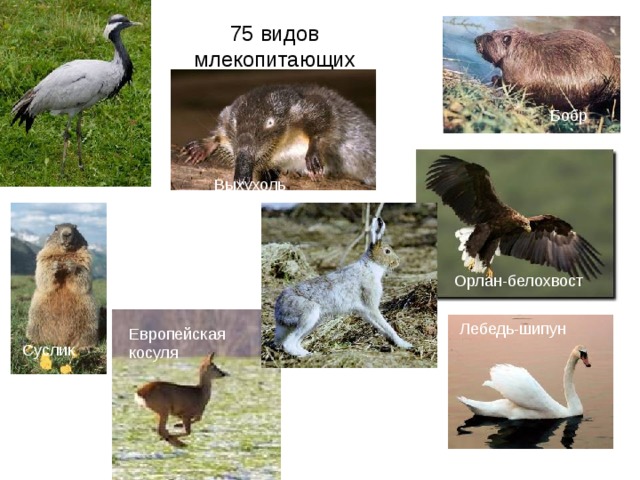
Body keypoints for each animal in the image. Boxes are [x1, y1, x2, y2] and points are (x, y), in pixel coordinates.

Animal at [274, 217, 413, 357]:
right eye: (387, 251)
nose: (398, 261)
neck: (372, 266)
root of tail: (278, 313)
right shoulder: (371, 306)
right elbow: (387, 326)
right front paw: (405, 344)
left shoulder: (365, 311)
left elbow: (379, 326)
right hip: (308, 314)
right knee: (289, 343)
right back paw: (306, 355)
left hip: (314, 321)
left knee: (294, 341)